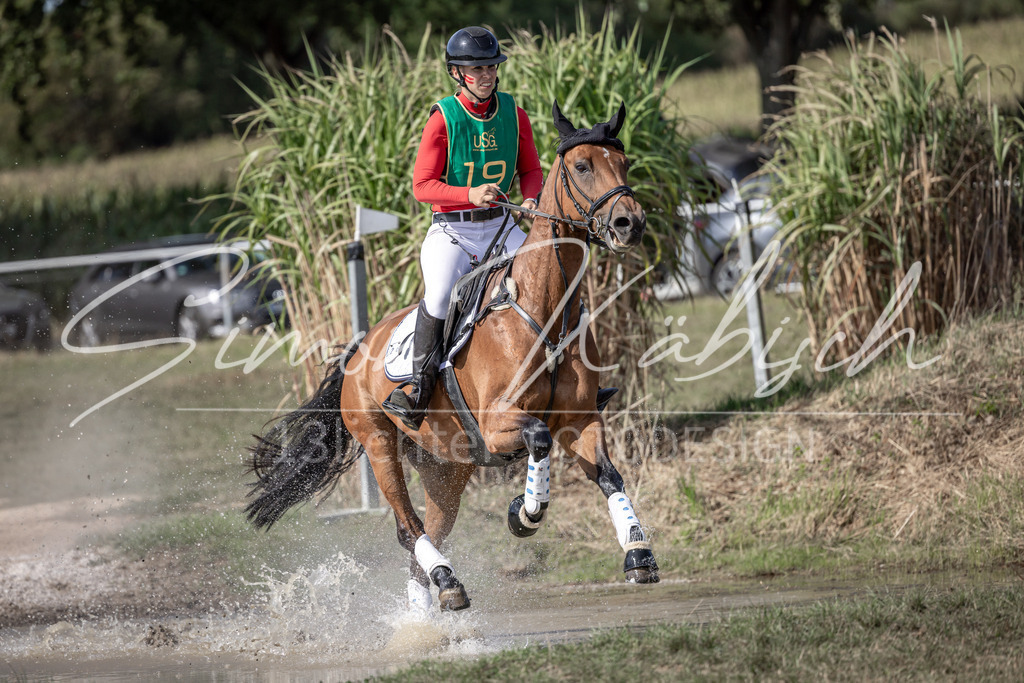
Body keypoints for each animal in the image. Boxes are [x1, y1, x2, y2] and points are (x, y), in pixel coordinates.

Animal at [245, 100, 659, 612]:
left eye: (624, 163)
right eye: (582, 166)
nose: (630, 223)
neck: (544, 310)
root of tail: (359, 348)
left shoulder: (580, 420)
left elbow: (610, 477)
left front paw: (638, 552)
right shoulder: (499, 423)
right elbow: (539, 438)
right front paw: (524, 513)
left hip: (447, 467)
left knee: (426, 538)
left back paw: (433, 603)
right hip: (380, 444)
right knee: (409, 529)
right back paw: (446, 580)